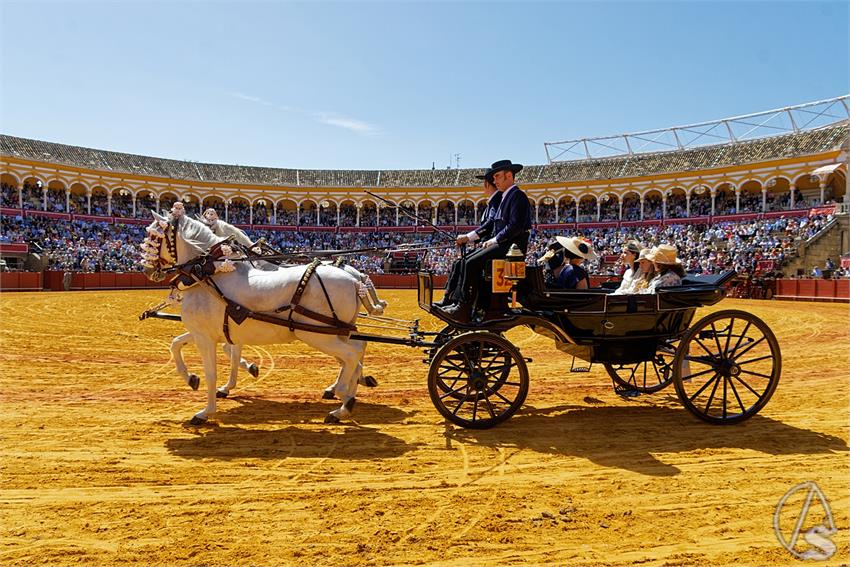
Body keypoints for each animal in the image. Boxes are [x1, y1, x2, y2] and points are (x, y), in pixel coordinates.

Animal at [142, 213, 372, 426]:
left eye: (153, 237)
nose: (147, 269)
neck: (209, 275)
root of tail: (354, 280)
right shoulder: (210, 333)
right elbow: (177, 345)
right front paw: (194, 379)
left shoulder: (205, 337)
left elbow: (211, 373)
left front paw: (206, 411)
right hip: (338, 332)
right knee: (357, 350)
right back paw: (348, 394)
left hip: (318, 335)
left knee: (351, 355)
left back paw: (342, 401)